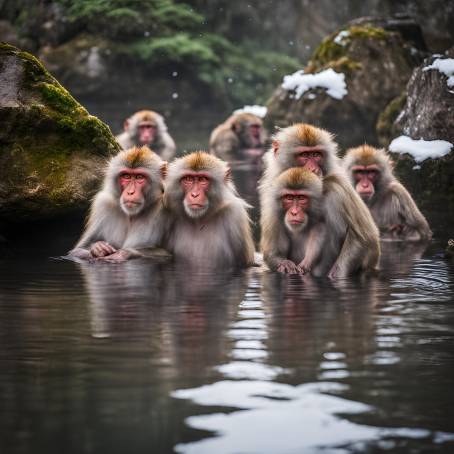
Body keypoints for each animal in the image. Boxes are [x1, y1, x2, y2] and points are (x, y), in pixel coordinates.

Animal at [258, 122, 380, 276]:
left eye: (316, 154)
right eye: (304, 155)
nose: (313, 169)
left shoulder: (338, 189)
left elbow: (364, 238)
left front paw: (335, 275)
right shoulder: (270, 193)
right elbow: (271, 252)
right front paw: (285, 264)